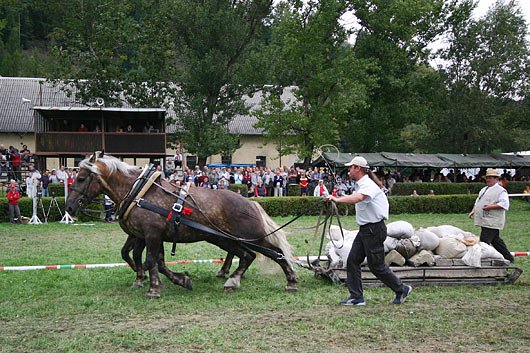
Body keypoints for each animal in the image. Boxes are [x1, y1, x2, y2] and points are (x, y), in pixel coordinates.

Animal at [66, 153, 296, 296]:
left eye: (82, 178)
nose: (69, 207)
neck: (139, 193)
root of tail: (250, 202)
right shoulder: (148, 235)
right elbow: (153, 261)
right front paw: (177, 280)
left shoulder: (151, 234)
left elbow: (149, 260)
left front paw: (153, 288)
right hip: (225, 238)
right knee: (246, 256)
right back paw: (231, 279)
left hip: (250, 237)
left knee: (274, 253)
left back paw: (291, 281)